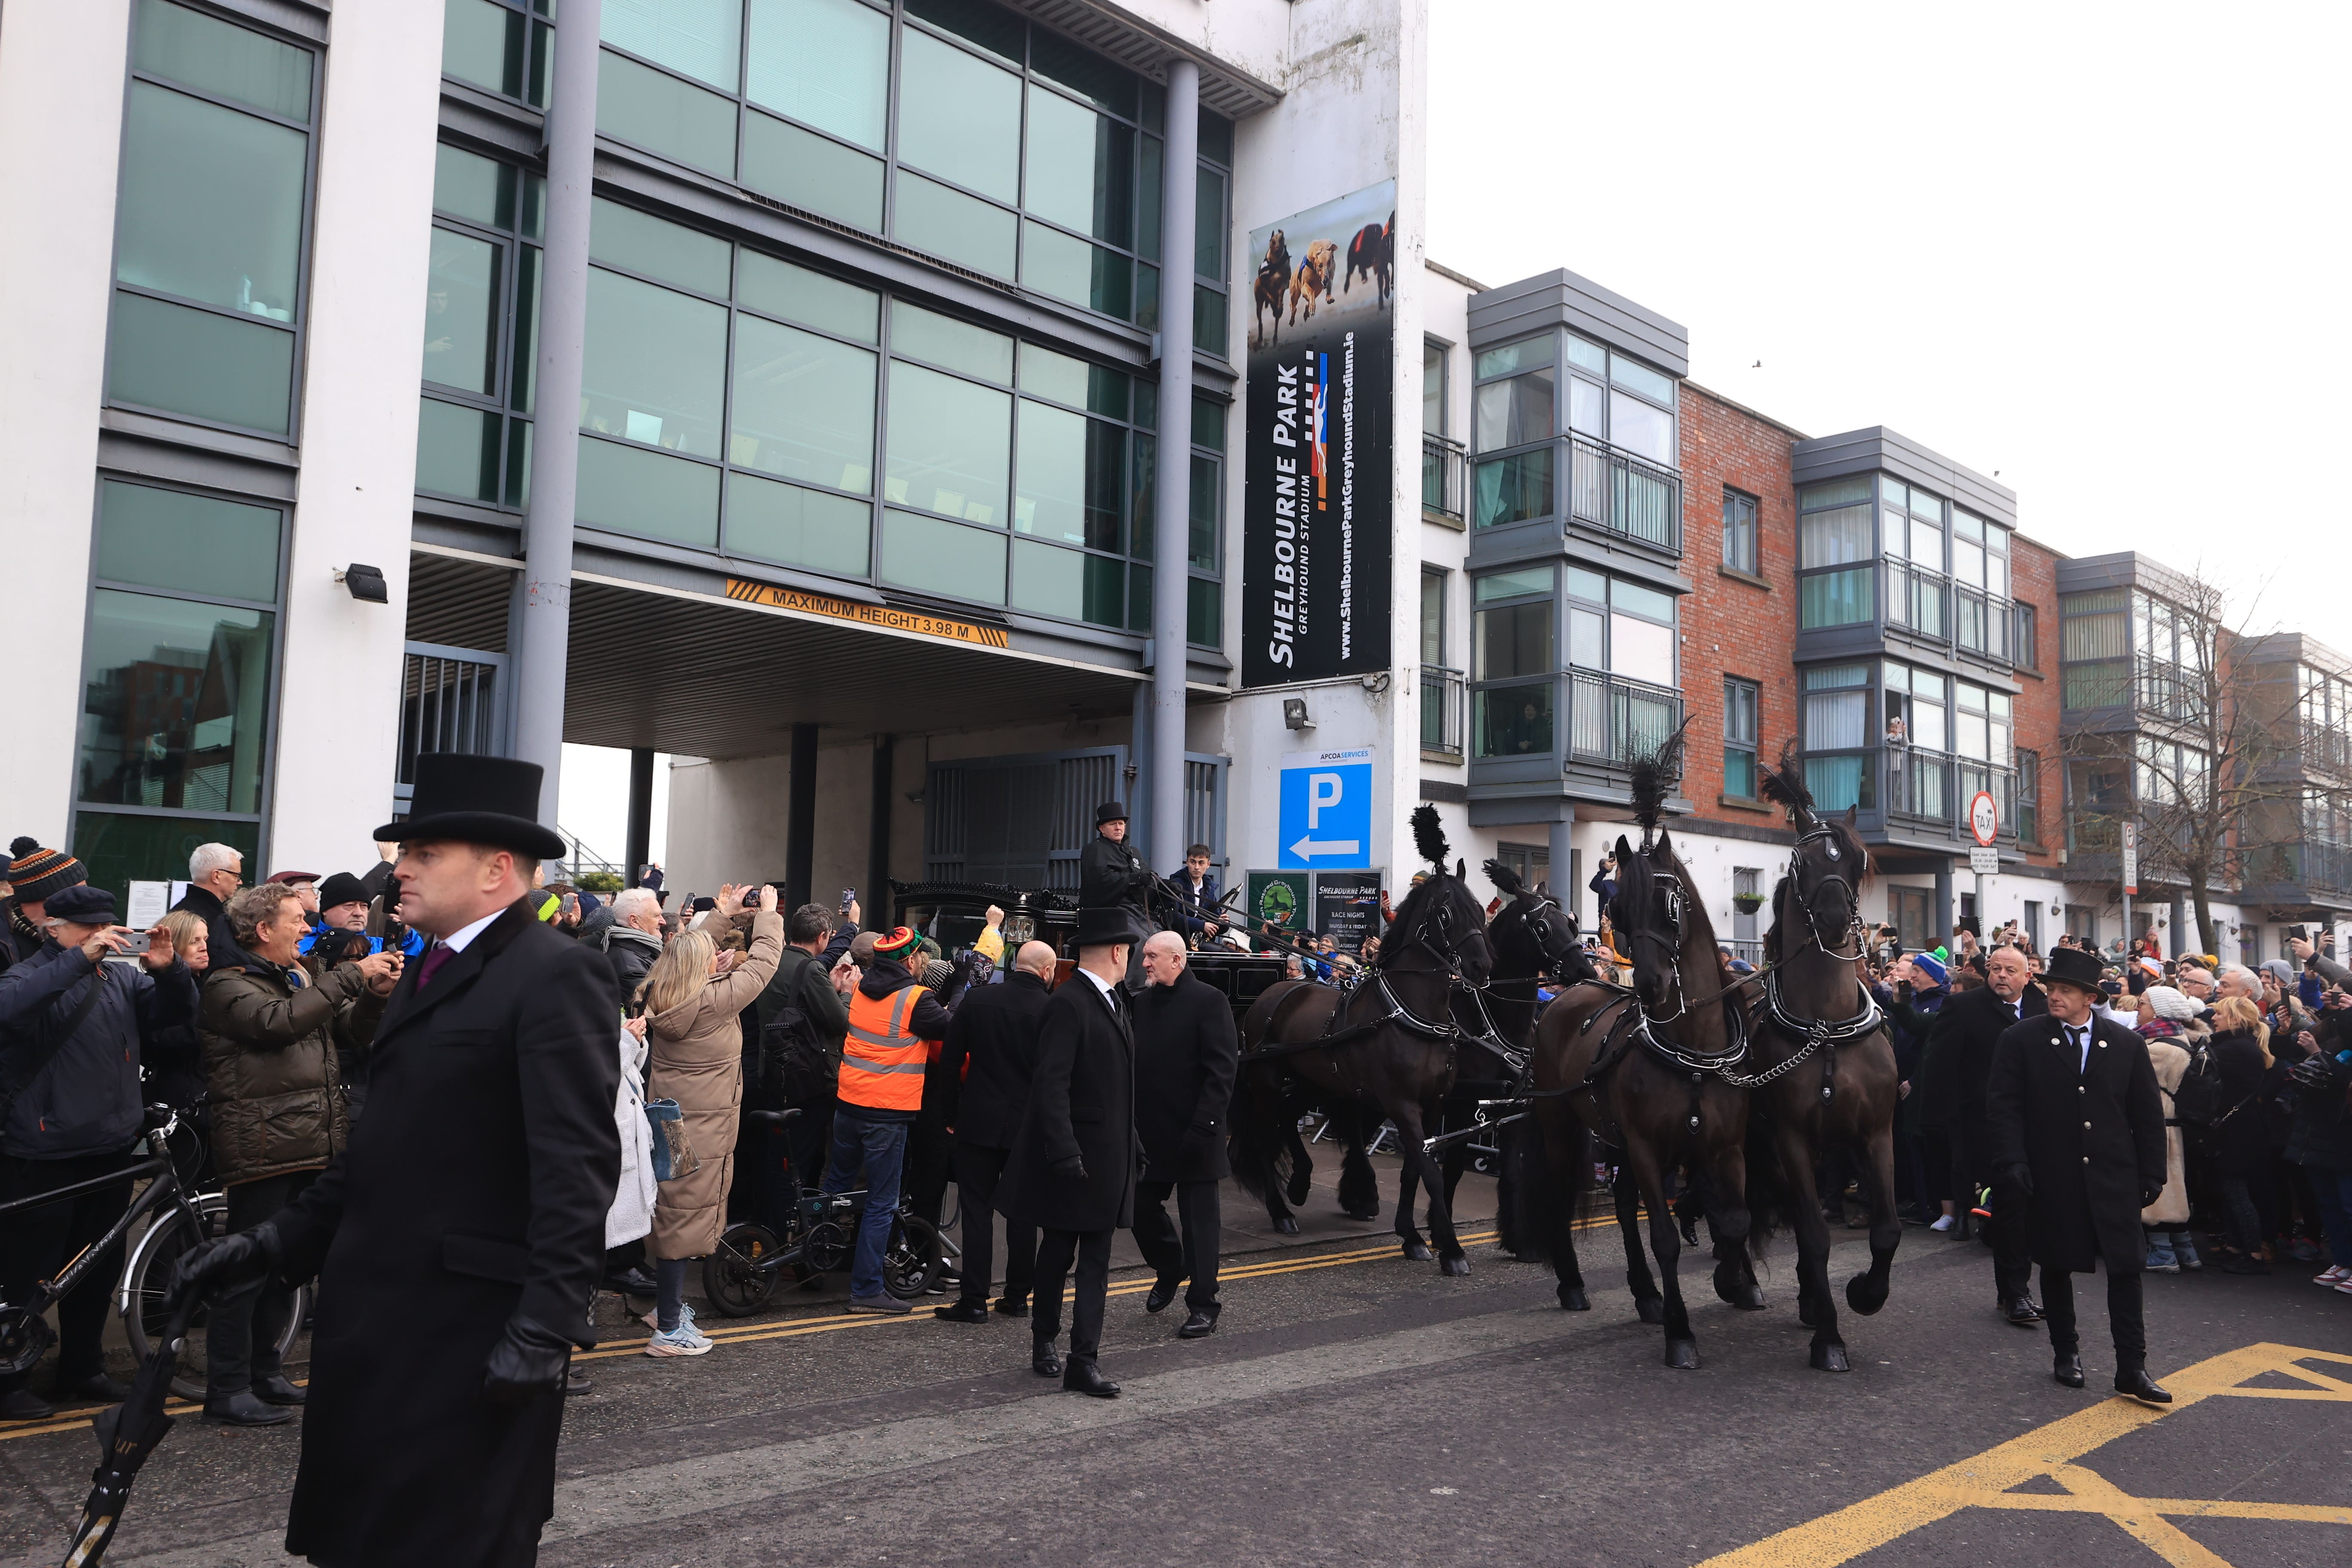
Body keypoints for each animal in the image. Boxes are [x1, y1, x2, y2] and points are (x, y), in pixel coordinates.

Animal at [1223, 808, 1496, 1279]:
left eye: (1481, 909)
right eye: (1446, 915)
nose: (1482, 966)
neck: (1411, 1013)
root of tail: (1273, 995)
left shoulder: (1434, 1105)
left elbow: (1413, 1171)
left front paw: (1413, 1237)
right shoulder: (1402, 1105)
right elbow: (1431, 1172)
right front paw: (1451, 1249)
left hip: (1313, 1081)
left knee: (1289, 1119)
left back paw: (1302, 1182)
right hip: (1268, 1081)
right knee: (1264, 1136)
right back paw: (1282, 1211)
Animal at [1505, 729, 1768, 1373]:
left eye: (1671, 904)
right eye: (1620, 910)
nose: (1648, 984)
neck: (1693, 1049)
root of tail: (1565, 998)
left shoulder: (1723, 1145)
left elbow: (1734, 1217)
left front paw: (1736, 1280)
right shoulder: (1651, 1148)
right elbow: (1667, 1237)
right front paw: (1680, 1333)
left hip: (1617, 1139)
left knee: (1624, 1206)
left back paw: (1646, 1294)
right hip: (1564, 1128)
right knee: (1562, 1196)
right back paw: (1574, 1283)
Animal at [1750, 747, 1910, 1373]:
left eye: (1860, 860)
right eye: (1803, 862)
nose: (1839, 920)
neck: (1826, 1029)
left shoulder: (1876, 1132)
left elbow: (1888, 1228)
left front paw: (1864, 1293)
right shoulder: (1790, 1135)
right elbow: (1815, 1234)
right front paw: (1830, 1339)